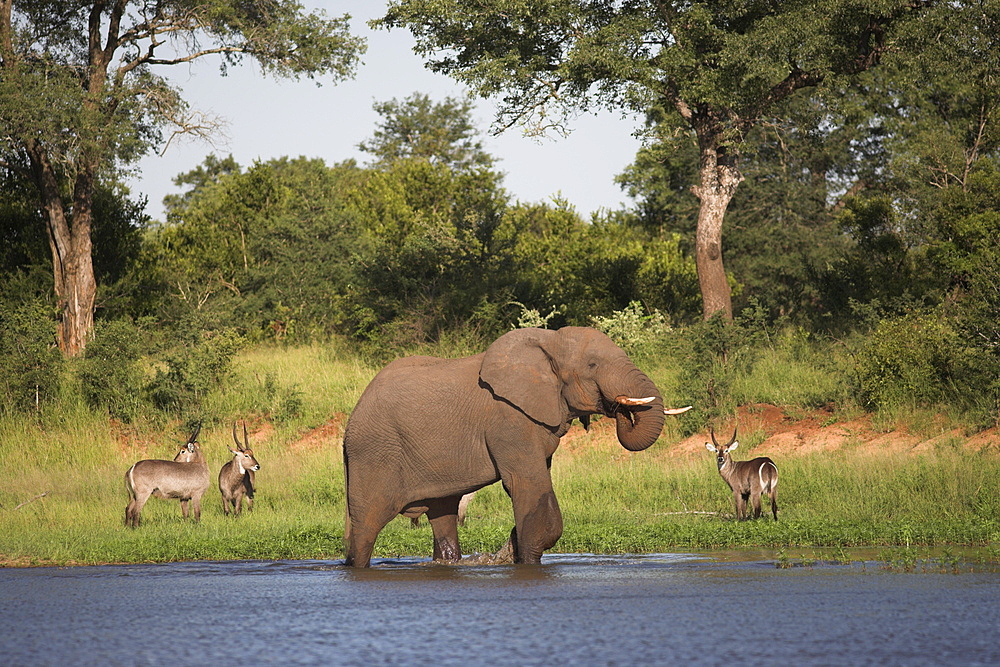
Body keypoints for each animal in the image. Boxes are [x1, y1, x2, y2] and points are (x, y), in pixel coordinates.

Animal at [342, 326, 672, 568]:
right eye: (592, 365)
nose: (619, 407)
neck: (549, 341)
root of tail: (350, 421)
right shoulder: (509, 419)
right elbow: (528, 485)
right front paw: (521, 555)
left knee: (443, 512)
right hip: (374, 452)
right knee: (367, 524)